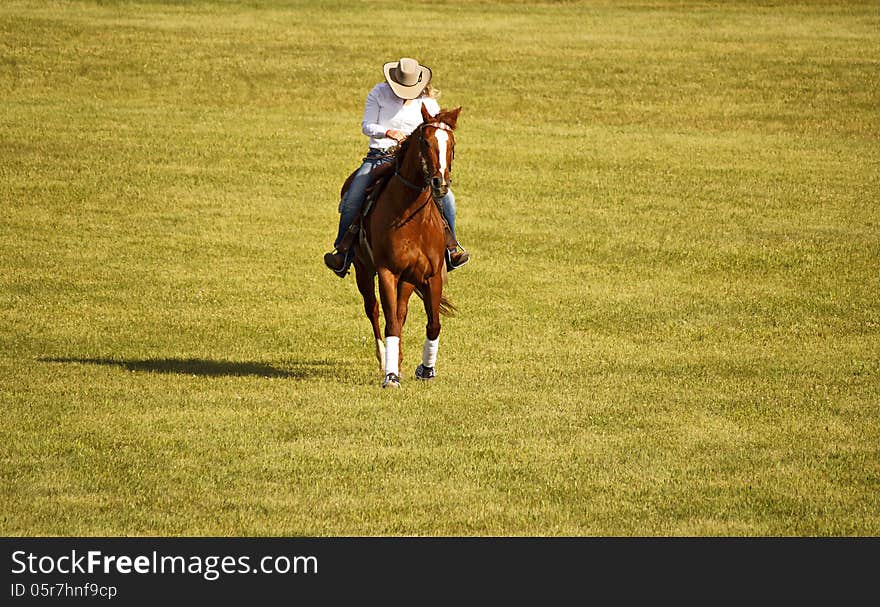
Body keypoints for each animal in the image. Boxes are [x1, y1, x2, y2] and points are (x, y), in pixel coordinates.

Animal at [352, 104, 464, 390]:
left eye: (452, 143)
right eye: (425, 142)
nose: (440, 183)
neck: (413, 218)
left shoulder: (430, 275)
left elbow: (432, 324)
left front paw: (426, 369)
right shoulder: (387, 273)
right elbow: (390, 324)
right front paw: (390, 376)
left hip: (408, 280)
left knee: (400, 313)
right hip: (362, 270)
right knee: (374, 310)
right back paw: (385, 360)